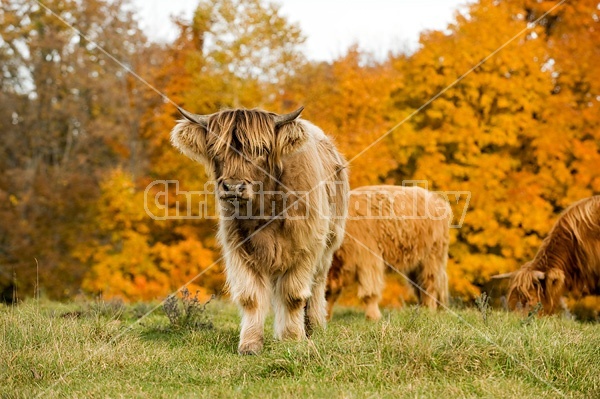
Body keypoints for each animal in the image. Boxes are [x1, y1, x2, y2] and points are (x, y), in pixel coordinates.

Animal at [170, 107, 346, 356]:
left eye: (261, 150)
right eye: (216, 149)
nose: (233, 187)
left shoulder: (306, 246)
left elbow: (293, 294)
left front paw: (292, 338)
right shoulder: (237, 247)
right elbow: (250, 297)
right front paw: (250, 343)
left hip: (328, 245)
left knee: (317, 286)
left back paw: (315, 326)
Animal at [326, 186, 448, 320]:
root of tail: (437, 199)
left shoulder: (368, 258)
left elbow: (370, 292)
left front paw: (373, 317)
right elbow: (330, 292)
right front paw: (326, 316)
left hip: (432, 257)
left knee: (430, 285)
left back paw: (429, 311)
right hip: (416, 263)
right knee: (422, 285)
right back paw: (425, 310)